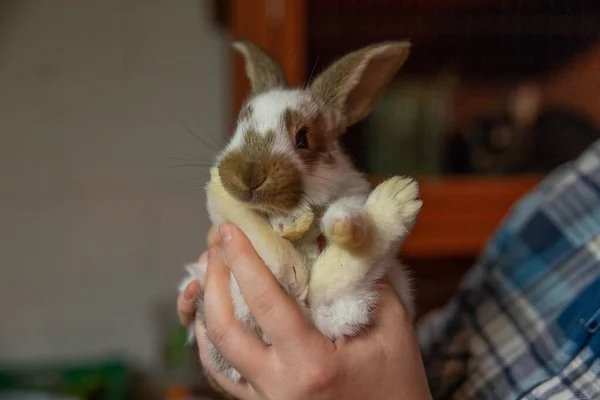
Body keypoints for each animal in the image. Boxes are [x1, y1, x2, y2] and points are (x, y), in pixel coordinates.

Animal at [178, 39, 422, 382]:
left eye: (303, 138)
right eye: (238, 128)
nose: (248, 177)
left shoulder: (351, 191)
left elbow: (341, 208)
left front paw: (337, 222)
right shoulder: (220, 197)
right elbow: (250, 223)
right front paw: (291, 266)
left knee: (333, 281)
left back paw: (391, 203)